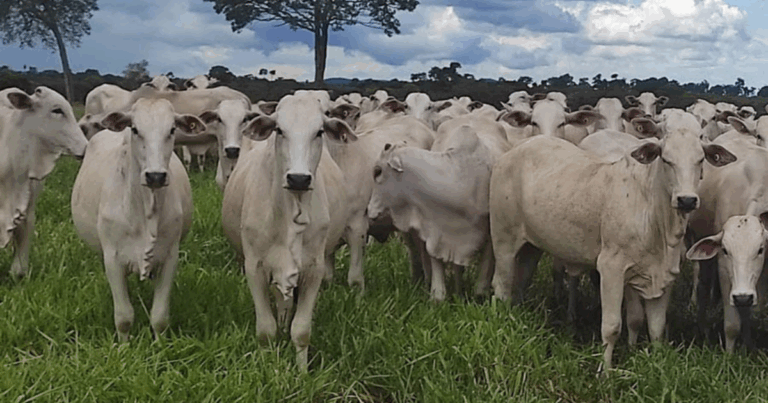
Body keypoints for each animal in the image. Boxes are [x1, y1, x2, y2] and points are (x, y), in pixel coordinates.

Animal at [70, 98, 211, 342]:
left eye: (172, 130)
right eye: (135, 129)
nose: (155, 176)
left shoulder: (170, 256)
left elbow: (159, 316)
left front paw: (159, 345)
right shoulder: (113, 259)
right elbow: (124, 317)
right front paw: (124, 346)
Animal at [221, 93, 356, 370]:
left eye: (319, 131)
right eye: (279, 130)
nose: (299, 178)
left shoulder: (314, 269)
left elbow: (301, 330)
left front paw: (302, 371)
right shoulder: (255, 267)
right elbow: (265, 329)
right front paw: (266, 365)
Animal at [489, 111, 737, 370]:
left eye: (700, 159)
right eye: (667, 159)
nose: (686, 200)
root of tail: (512, 153)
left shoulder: (664, 275)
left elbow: (656, 328)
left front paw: (656, 362)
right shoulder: (611, 268)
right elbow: (612, 327)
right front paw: (605, 371)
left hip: (531, 247)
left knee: (520, 282)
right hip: (503, 239)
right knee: (502, 285)